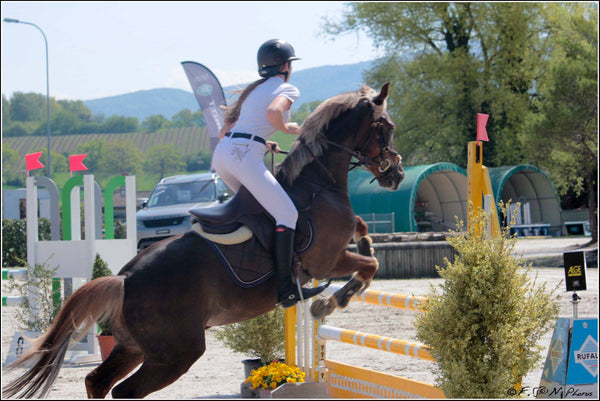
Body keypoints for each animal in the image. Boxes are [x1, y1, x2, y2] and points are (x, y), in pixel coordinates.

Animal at [2, 83, 404, 398]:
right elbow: (369, 267)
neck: (317, 182)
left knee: (96, 382)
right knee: (125, 390)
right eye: (386, 127)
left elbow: (364, 232)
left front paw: (360, 254)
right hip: (177, 352)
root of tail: (125, 279)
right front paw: (329, 303)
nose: (397, 173)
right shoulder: (326, 260)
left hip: (133, 346)